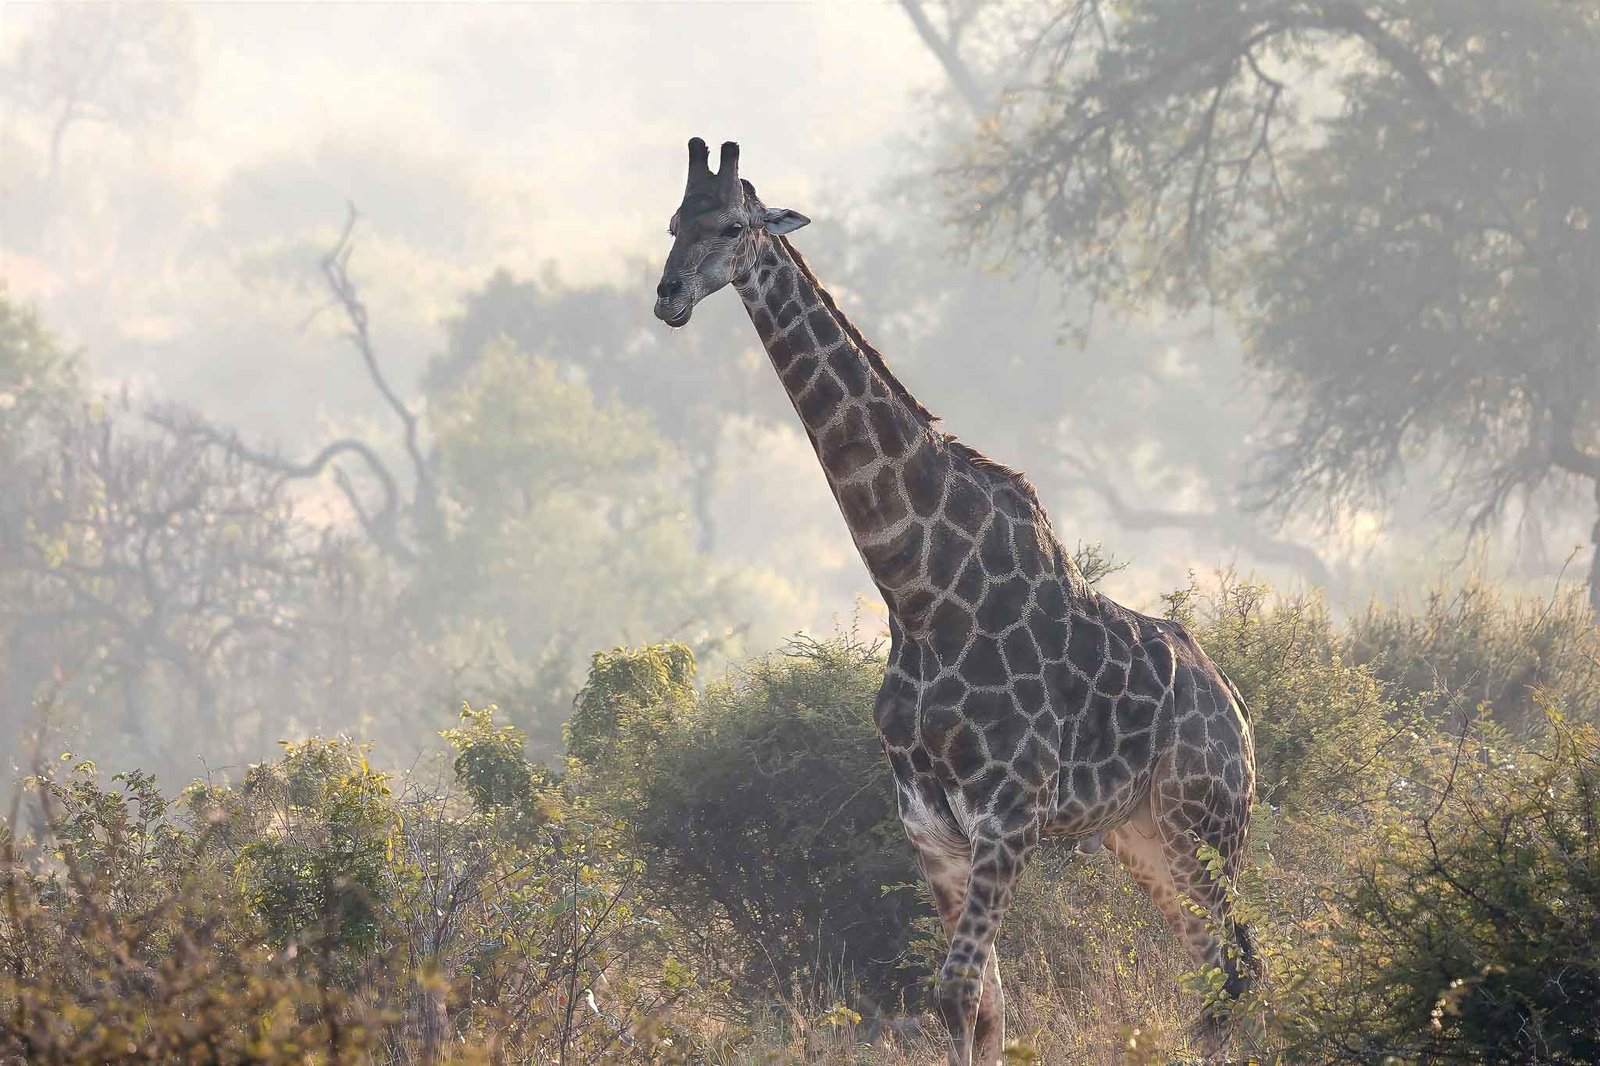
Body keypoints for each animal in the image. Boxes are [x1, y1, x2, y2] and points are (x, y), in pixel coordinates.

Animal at [653, 138, 1260, 1065]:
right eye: (672, 223)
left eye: (729, 227)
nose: (669, 296)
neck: (918, 595)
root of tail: (1236, 707)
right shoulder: (930, 827)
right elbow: (979, 1005)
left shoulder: (1010, 817)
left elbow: (958, 988)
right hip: (1144, 833)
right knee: (1211, 967)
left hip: (1205, 820)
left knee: (1234, 969)